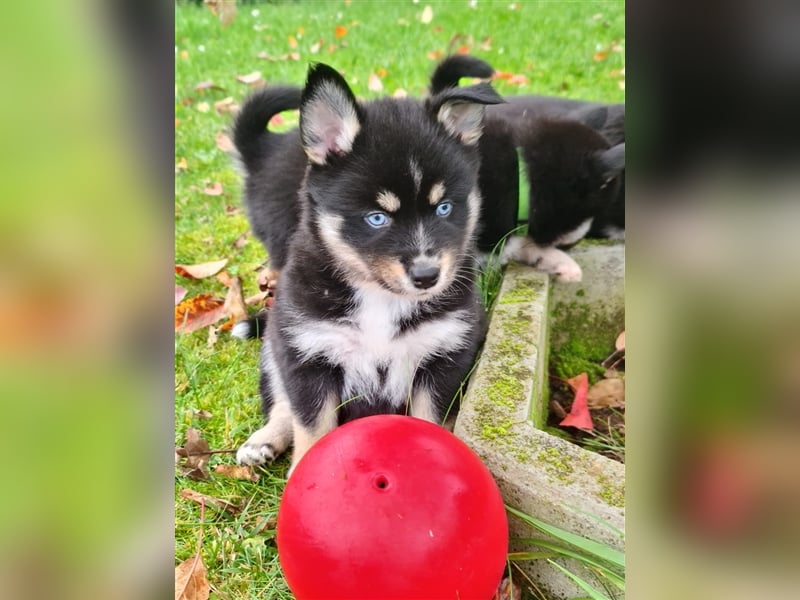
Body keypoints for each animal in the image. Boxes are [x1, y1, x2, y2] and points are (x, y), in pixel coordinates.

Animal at [234, 63, 504, 476]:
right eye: (377, 218)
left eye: (444, 208)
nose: (427, 277)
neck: (379, 297)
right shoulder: (306, 354)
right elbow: (311, 425)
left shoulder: (444, 356)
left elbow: (430, 421)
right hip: (275, 346)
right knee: (281, 402)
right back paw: (263, 441)